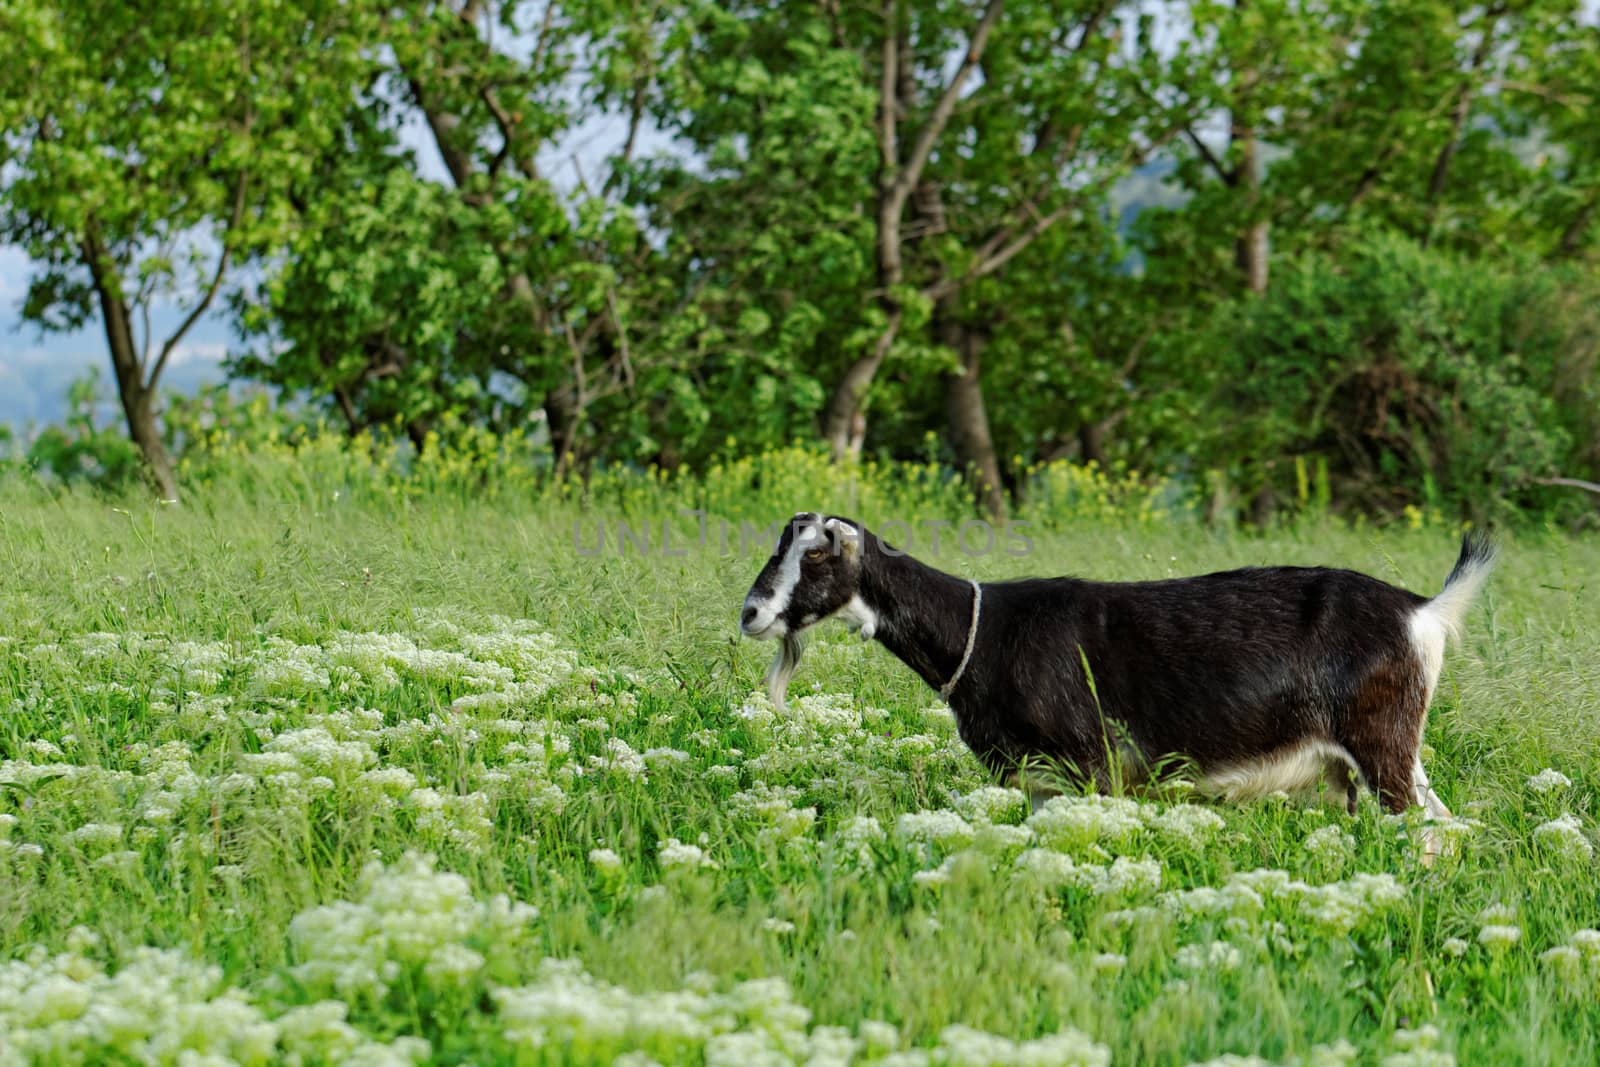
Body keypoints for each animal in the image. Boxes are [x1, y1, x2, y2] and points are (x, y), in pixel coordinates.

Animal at [742, 511, 1491, 857]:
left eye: (816, 554)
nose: (750, 612)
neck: (986, 629)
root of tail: (1423, 610)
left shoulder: (1092, 766)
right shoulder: (1038, 780)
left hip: (1382, 742)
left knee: (1430, 826)